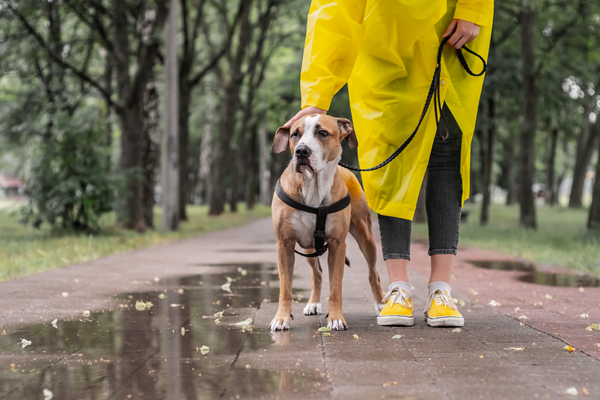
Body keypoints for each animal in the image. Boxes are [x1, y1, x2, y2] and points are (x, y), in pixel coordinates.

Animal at [268, 115, 382, 332]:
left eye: (322, 133)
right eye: (295, 134)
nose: (301, 151)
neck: (314, 187)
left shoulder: (338, 244)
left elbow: (336, 286)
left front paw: (336, 318)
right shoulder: (284, 243)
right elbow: (285, 287)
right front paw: (281, 318)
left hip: (366, 236)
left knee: (373, 273)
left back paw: (382, 304)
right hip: (309, 247)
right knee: (318, 273)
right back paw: (313, 303)